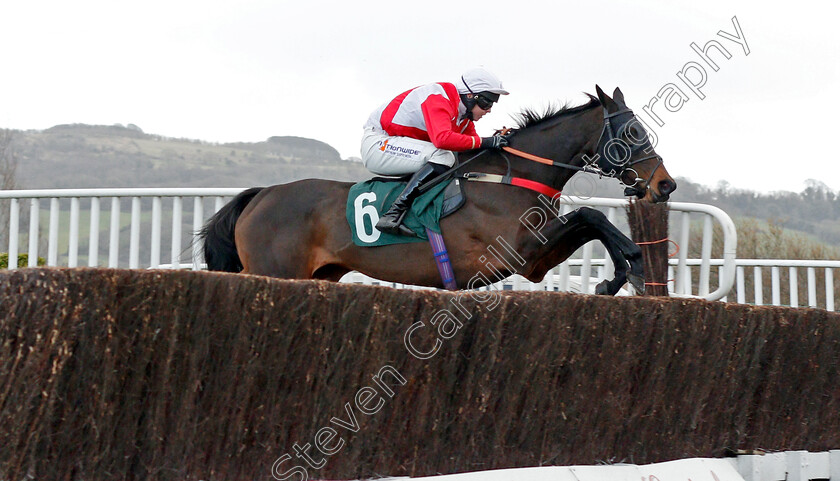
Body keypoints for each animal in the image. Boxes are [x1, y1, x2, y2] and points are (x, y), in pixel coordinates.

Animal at [202, 86, 676, 294]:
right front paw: (630, 269)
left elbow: (589, 220)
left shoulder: (534, 261)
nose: (665, 184)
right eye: (632, 132)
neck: (511, 176)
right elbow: (590, 216)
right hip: (276, 271)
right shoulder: (519, 253)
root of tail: (261, 195)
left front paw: (621, 275)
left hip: (317, 274)